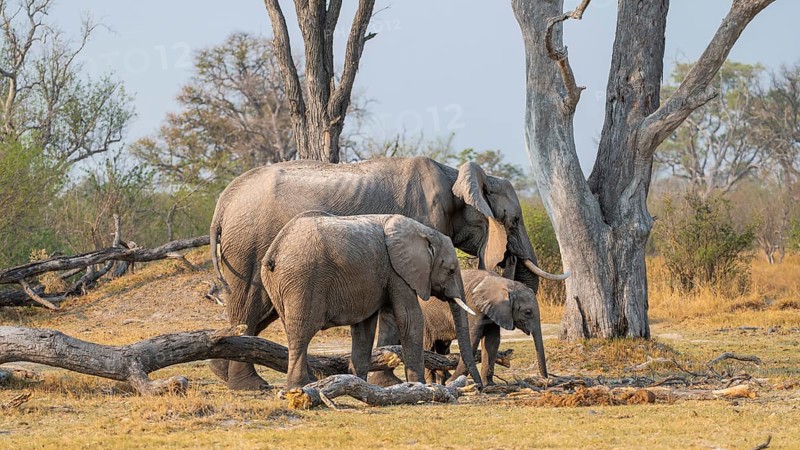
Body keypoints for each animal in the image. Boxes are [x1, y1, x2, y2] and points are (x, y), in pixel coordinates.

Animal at [260, 211, 481, 388]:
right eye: (450, 270)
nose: (480, 387)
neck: (424, 231)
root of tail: (274, 251)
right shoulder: (398, 271)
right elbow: (409, 318)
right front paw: (418, 385)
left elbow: (365, 328)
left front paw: (358, 383)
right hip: (304, 280)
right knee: (302, 331)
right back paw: (299, 386)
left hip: (279, 284)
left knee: (292, 330)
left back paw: (310, 383)